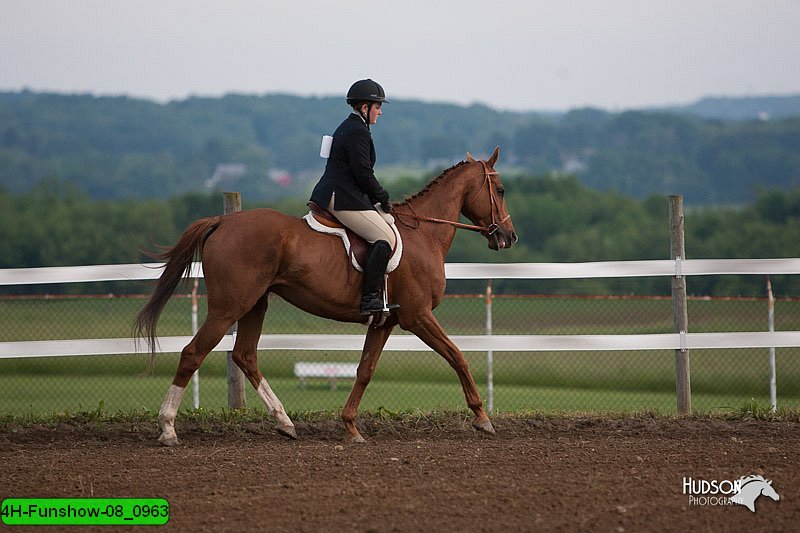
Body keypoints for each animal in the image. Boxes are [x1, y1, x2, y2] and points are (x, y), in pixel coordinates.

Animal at [134, 147, 516, 444]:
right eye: (499, 189)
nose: (508, 237)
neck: (423, 234)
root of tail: (223, 221)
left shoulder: (385, 321)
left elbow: (365, 370)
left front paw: (350, 426)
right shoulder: (417, 316)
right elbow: (458, 356)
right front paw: (482, 418)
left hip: (256, 304)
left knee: (245, 356)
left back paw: (285, 423)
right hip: (228, 307)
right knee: (193, 353)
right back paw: (168, 428)